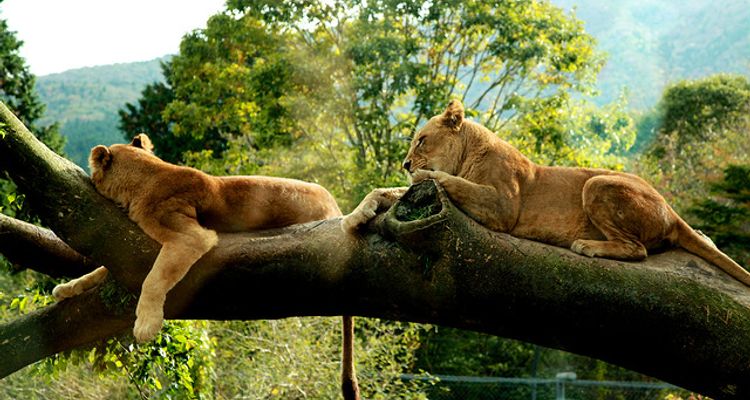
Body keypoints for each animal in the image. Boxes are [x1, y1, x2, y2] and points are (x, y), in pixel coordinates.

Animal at [53, 134, 362, 400]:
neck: (146, 174)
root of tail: (337, 209)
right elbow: (100, 271)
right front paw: (67, 288)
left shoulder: (190, 237)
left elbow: (153, 280)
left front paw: (146, 325)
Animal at [344, 100, 750, 288]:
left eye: (422, 140)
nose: (406, 163)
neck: (468, 154)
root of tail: (672, 209)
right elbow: (386, 191)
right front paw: (355, 216)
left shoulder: (503, 206)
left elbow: (449, 182)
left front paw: (427, 173)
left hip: (597, 184)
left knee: (638, 250)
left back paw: (589, 246)